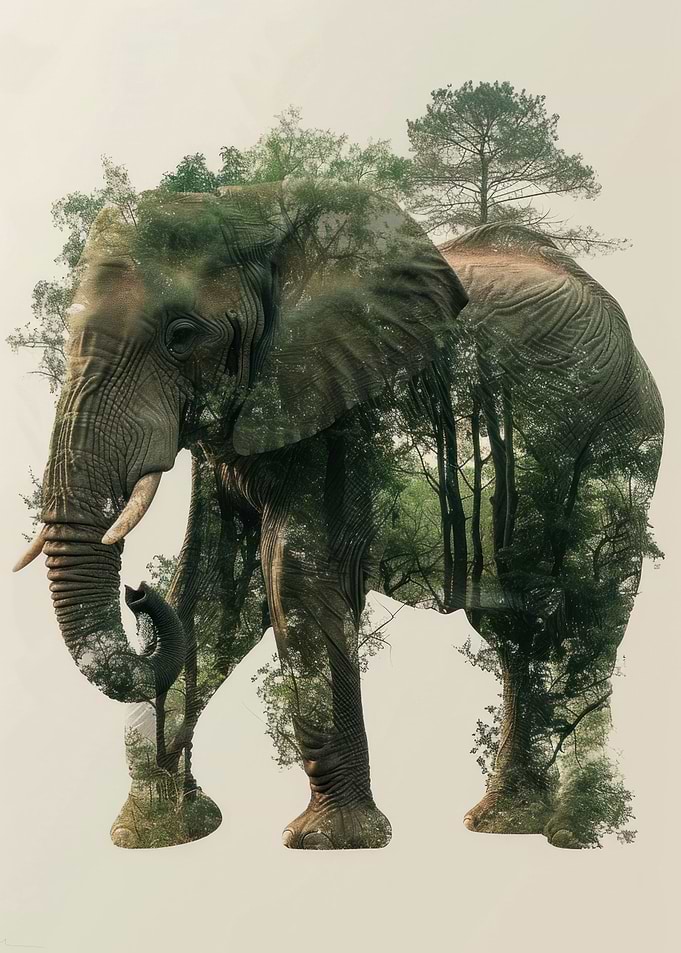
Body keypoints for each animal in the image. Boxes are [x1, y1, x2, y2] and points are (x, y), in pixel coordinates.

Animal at [14, 178, 663, 851]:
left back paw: (573, 832)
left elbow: (294, 580)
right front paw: (158, 835)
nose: (137, 592)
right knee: (516, 630)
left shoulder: (341, 408)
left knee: (589, 615)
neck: (253, 212)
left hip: (615, 434)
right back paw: (504, 822)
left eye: (182, 334)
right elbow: (214, 589)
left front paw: (332, 841)